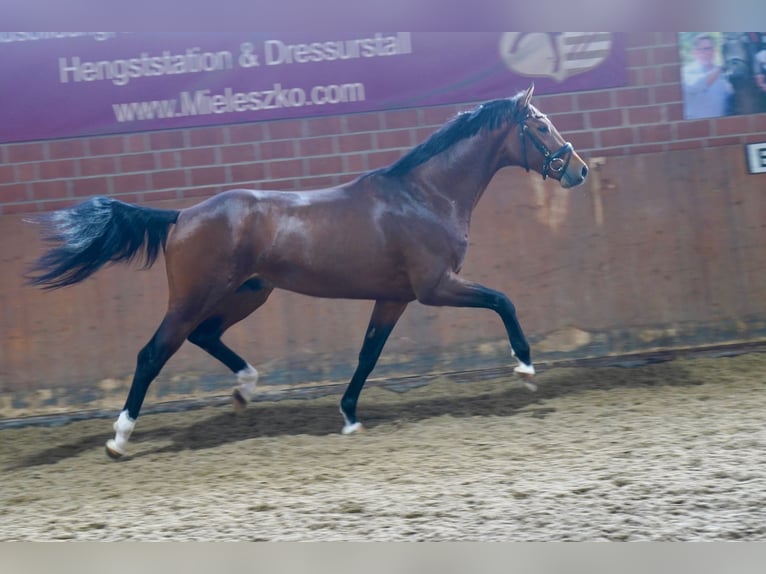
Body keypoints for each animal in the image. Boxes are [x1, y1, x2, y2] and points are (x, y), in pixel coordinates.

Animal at [24, 84, 588, 460]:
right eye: (540, 126)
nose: (578, 169)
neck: (424, 195)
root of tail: (180, 216)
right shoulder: (436, 287)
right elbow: (503, 300)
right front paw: (525, 368)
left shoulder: (394, 298)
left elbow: (368, 355)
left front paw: (350, 416)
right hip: (193, 298)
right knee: (152, 353)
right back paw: (120, 439)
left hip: (248, 293)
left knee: (206, 336)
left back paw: (245, 390)